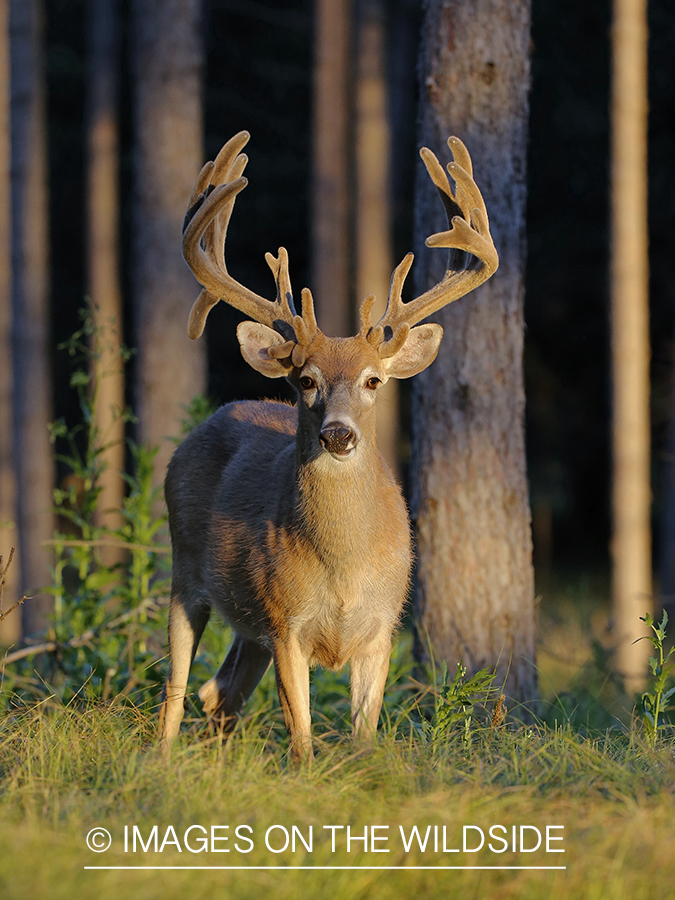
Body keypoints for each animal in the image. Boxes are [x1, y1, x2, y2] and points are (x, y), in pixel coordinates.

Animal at [157, 128, 496, 760]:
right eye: (306, 380)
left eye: (374, 380)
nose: (338, 433)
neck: (342, 568)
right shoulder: (284, 621)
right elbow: (303, 741)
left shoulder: (382, 626)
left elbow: (364, 736)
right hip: (186, 570)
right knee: (177, 686)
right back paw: (161, 761)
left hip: (248, 626)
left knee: (220, 694)